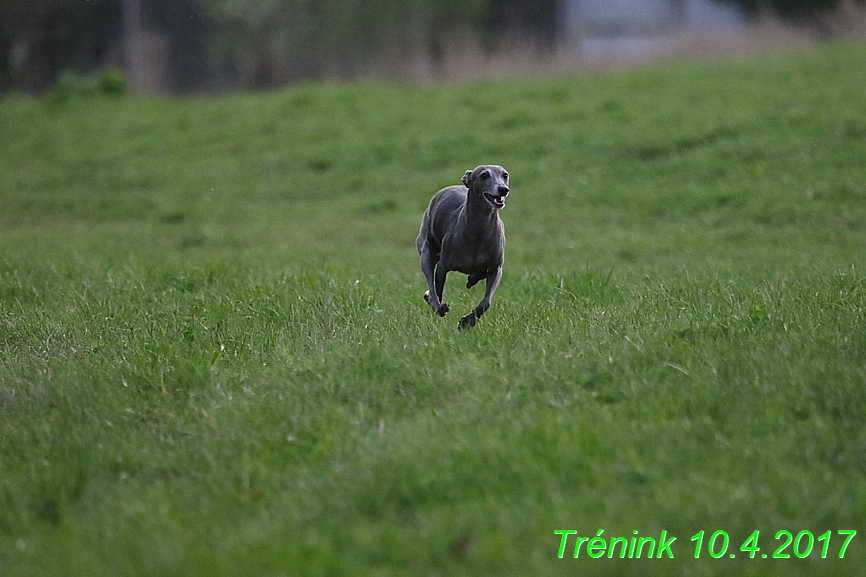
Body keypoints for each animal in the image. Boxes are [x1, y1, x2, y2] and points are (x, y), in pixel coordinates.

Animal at [416, 165, 510, 328]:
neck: (479, 231)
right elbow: (437, 290)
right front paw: (438, 306)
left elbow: (486, 302)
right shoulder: (443, 266)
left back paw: (473, 278)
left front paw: (467, 321)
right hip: (426, 248)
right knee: (430, 277)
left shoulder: (496, 268)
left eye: (505, 175)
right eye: (484, 175)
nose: (503, 189)